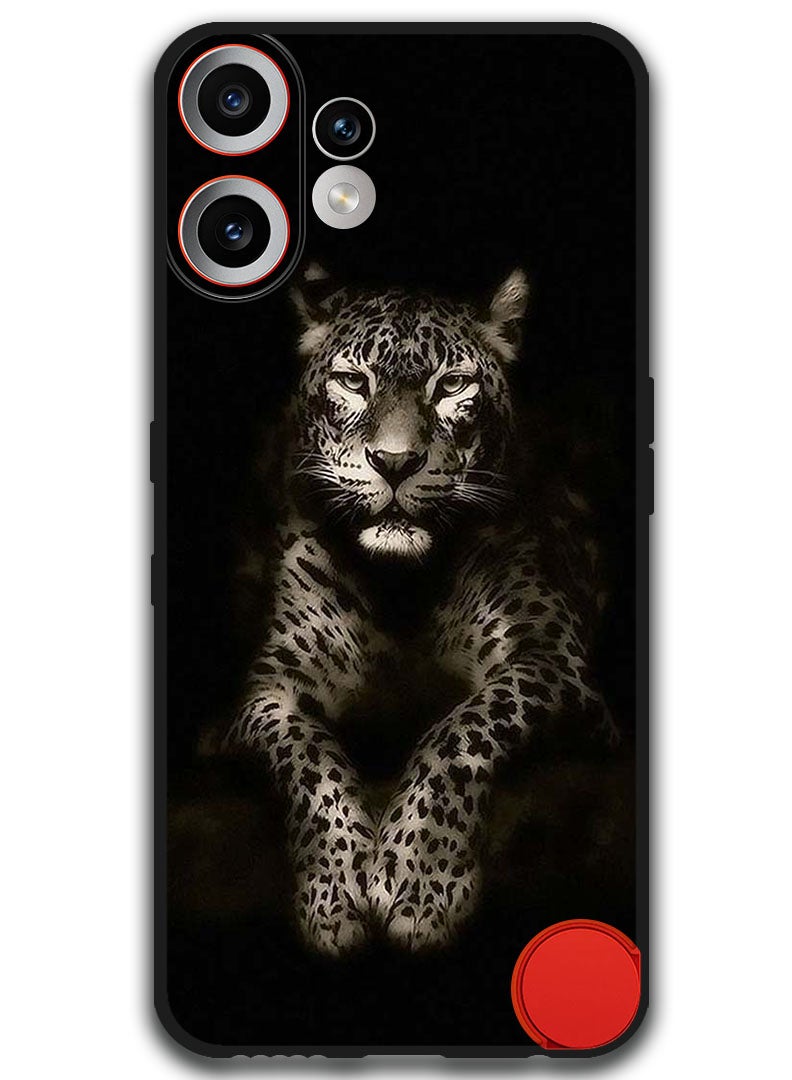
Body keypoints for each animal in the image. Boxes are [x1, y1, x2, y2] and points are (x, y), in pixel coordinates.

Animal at [223, 264, 618, 955]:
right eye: (354, 382)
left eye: (451, 385)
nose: (396, 462)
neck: (402, 589)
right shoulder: (269, 689)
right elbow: (307, 756)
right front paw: (334, 891)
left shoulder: (551, 659)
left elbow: (462, 730)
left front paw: (418, 880)